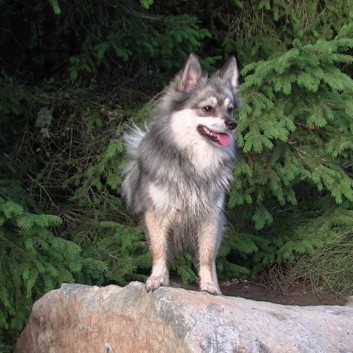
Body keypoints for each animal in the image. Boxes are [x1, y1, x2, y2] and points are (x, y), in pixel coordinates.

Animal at [121, 53, 239, 294]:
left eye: (230, 109)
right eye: (207, 109)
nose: (232, 124)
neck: (194, 161)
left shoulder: (210, 218)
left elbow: (206, 257)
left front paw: (209, 286)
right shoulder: (157, 214)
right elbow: (159, 251)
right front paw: (157, 279)